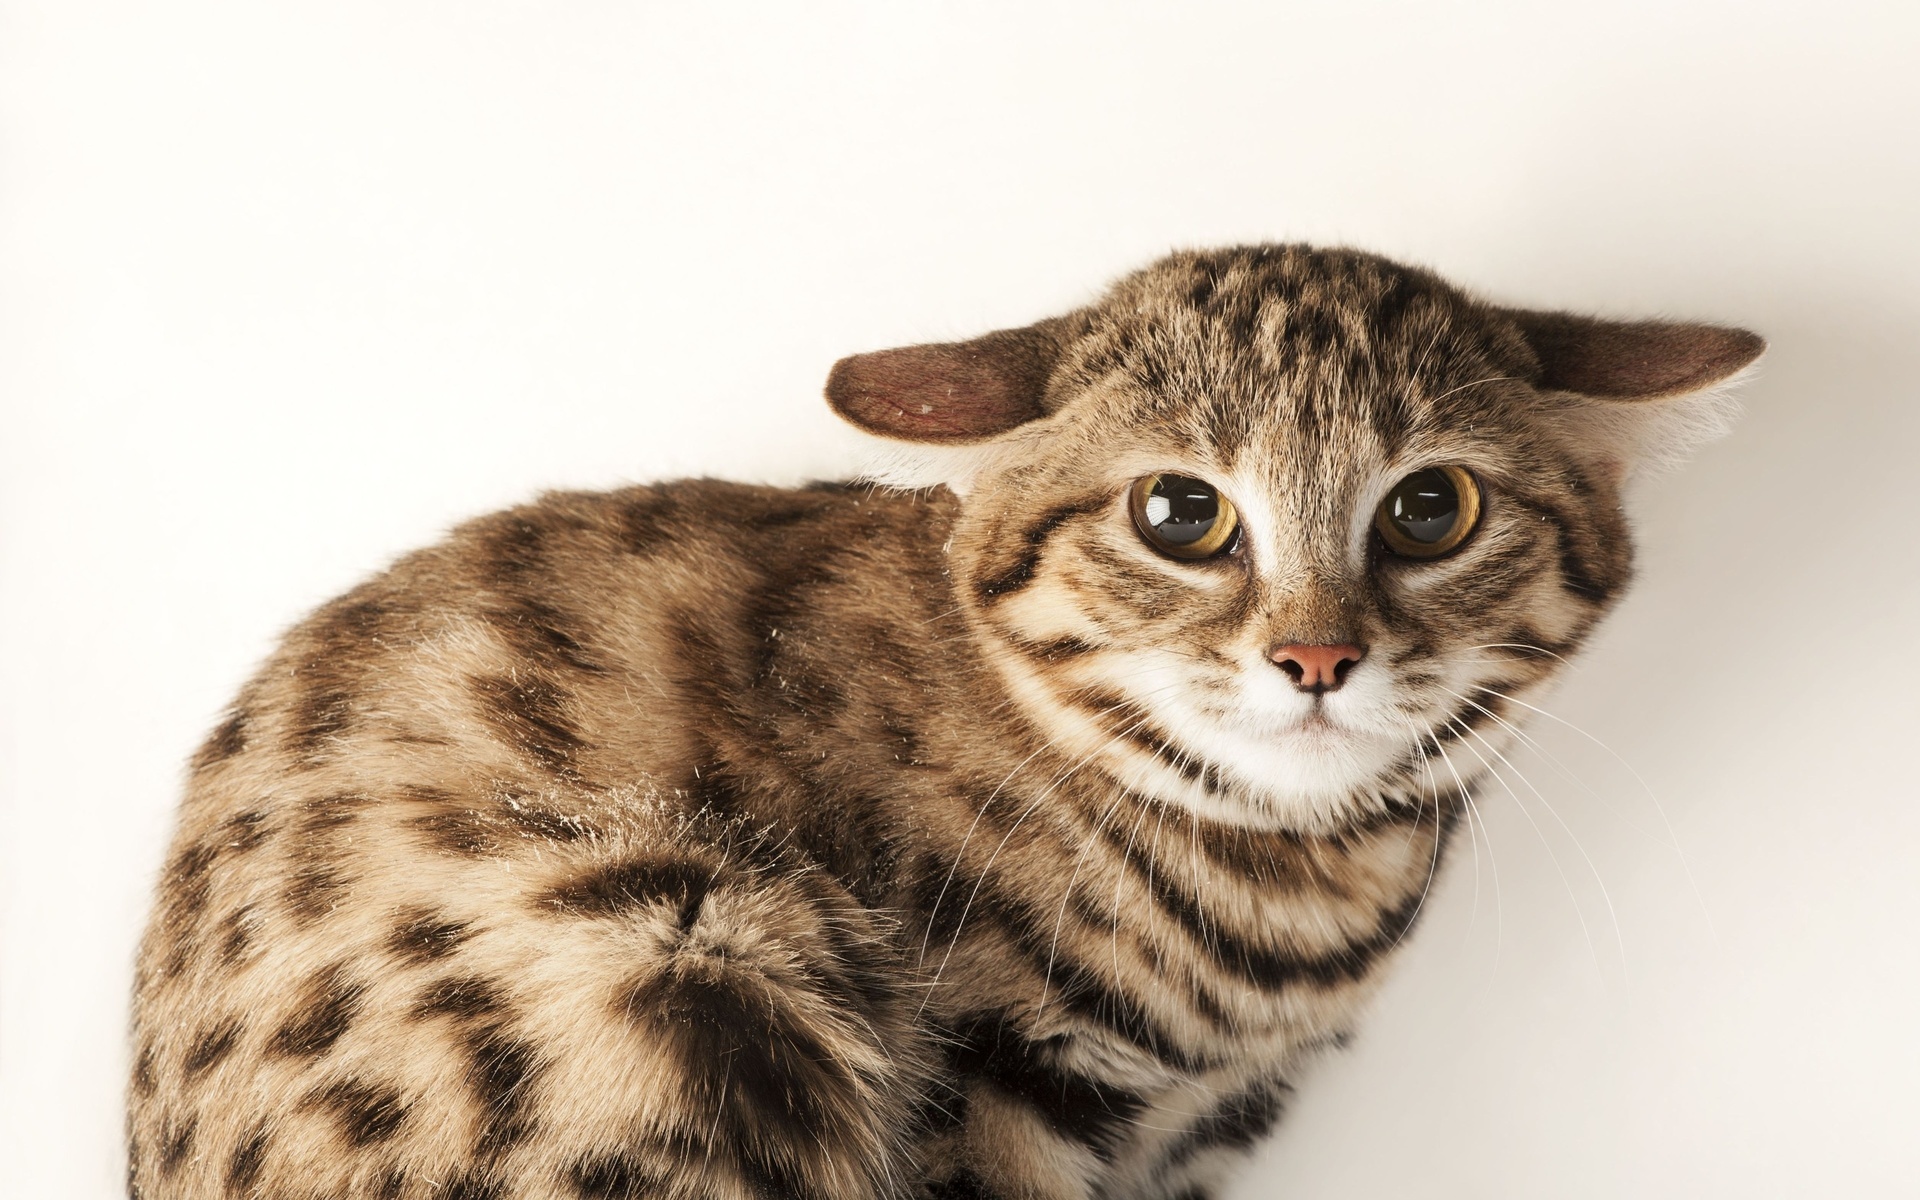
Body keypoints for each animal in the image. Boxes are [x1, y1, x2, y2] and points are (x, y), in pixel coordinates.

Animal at [127, 245, 1758, 1198]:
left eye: (1432, 509)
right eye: (1181, 514)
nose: (1315, 655)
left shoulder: (1191, 1137)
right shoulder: (997, 1082)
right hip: (664, 965)